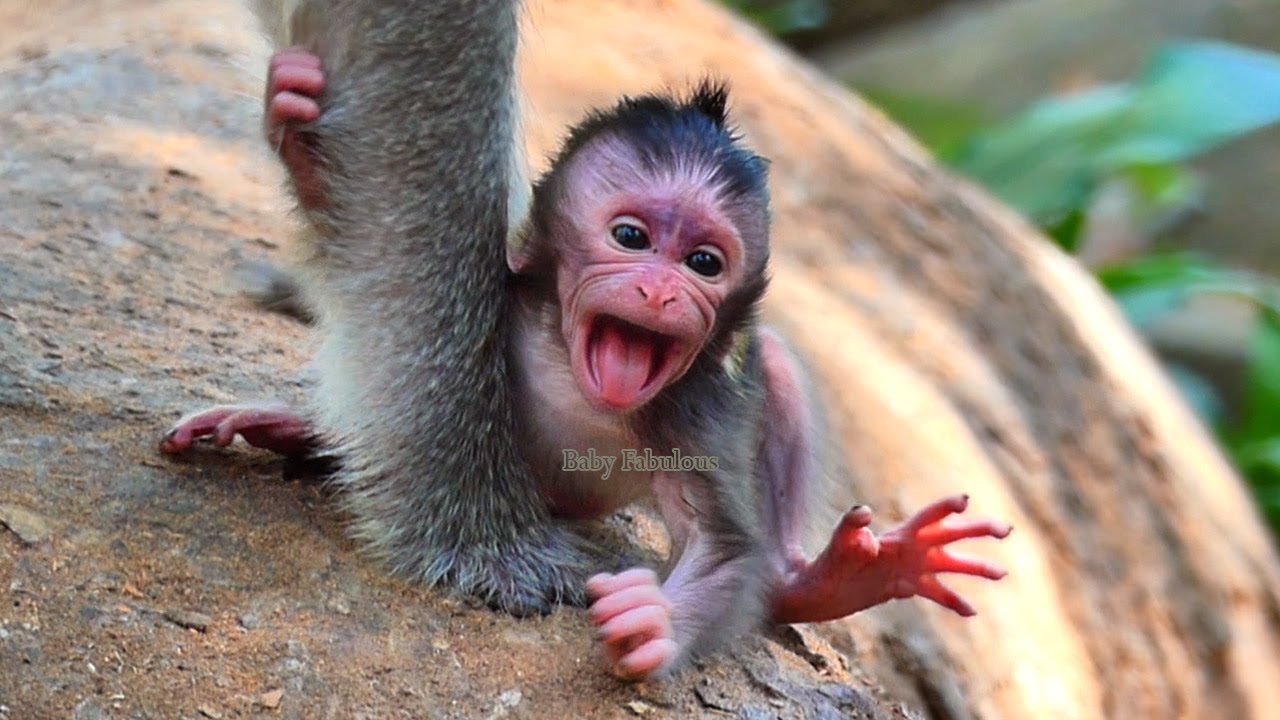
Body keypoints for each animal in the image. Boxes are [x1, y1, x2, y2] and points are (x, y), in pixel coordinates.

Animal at [163, 31, 1011, 680]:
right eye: (631, 237)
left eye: (704, 262)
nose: (662, 292)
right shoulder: (494, 298)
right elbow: (367, 240)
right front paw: (296, 111)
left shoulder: (692, 410)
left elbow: (725, 546)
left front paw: (657, 624)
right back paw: (294, 431)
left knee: (770, 366)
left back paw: (820, 581)